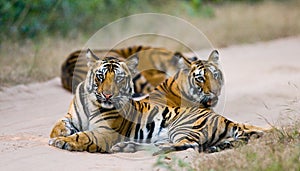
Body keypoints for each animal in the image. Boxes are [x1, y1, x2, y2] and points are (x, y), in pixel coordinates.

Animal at [49, 48, 270, 154]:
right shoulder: (70, 117)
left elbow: (83, 136)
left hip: (182, 127)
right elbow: (58, 125)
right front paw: (58, 135)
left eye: (119, 79)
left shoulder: (106, 132)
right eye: (100, 76)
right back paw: (127, 147)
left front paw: (63, 141)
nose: (108, 95)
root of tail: (224, 119)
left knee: (190, 146)